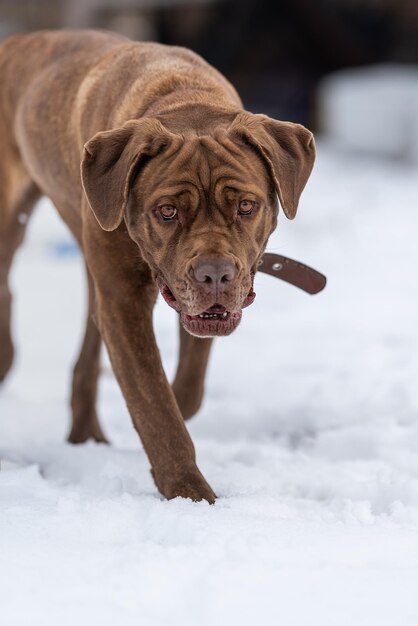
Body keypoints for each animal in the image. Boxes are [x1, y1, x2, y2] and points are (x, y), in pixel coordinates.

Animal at [0, 30, 314, 502]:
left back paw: (86, 436)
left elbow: (184, 389)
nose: (214, 275)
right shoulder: (123, 302)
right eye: (167, 211)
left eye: (246, 205)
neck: (182, 96)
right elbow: (155, 404)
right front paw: (191, 493)